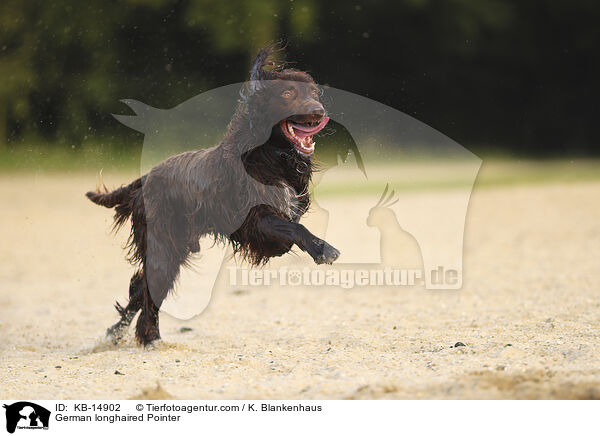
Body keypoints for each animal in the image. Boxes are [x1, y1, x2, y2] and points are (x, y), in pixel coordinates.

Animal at [86, 46, 340, 346]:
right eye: (288, 93)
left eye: (313, 92)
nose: (318, 111)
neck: (268, 156)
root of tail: (145, 177)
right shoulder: (254, 221)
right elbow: (293, 228)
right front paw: (323, 249)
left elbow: (290, 229)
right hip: (163, 246)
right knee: (149, 290)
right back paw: (150, 339)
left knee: (140, 288)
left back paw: (116, 332)